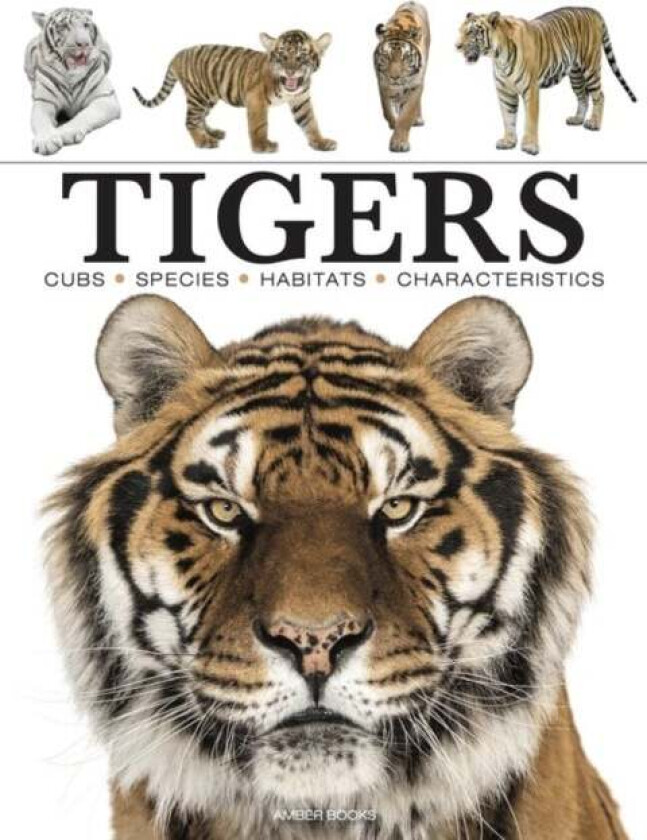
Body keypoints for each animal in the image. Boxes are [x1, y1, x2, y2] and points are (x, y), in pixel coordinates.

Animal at [24, 8, 120, 156]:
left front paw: (65, 133)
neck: (71, 73)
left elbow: (85, 115)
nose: (84, 44)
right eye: (63, 27)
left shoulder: (105, 97)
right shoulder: (44, 102)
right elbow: (41, 121)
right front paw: (46, 141)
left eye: (86, 25)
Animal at [133, 31, 336, 154]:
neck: (288, 89)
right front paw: (262, 146)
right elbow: (259, 125)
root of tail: (178, 54)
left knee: (200, 118)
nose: (290, 71)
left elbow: (310, 122)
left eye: (301, 56)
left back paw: (212, 133)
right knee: (190, 121)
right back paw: (204, 141)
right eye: (282, 55)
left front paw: (321, 142)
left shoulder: (301, 100)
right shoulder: (256, 100)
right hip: (198, 96)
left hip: (208, 98)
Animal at [374, 2, 431, 152]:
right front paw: (393, 123)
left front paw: (399, 142)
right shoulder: (382, 82)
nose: (394, 77)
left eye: (405, 58)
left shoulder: (416, 84)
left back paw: (418, 118)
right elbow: (387, 109)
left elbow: (406, 115)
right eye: (386, 56)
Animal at [456, 7, 637, 156]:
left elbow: (530, 119)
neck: (498, 56)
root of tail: (593, 11)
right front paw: (508, 142)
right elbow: (508, 117)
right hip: (576, 74)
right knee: (583, 96)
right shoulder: (505, 92)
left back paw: (594, 123)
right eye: (460, 31)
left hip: (590, 66)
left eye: (471, 32)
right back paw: (577, 119)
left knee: (600, 95)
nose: (456, 46)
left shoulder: (531, 89)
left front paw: (529, 146)